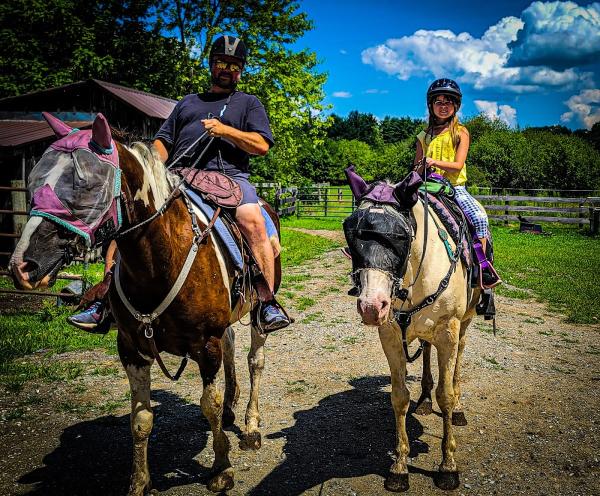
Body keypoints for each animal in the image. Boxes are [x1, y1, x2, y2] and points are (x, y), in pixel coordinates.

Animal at [9, 114, 274, 494]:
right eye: (33, 180)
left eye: (86, 186)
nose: (22, 266)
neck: (160, 259)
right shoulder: (131, 348)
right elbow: (141, 419)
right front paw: (139, 481)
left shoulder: (205, 343)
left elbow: (207, 404)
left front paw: (221, 469)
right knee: (231, 345)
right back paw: (230, 410)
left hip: (256, 314)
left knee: (255, 360)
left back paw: (250, 427)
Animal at [344, 170, 480, 492]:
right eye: (350, 232)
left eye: (401, 236)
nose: (371, 306)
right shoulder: (391, 335)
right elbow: (399, 396)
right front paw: (400, 466)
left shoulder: (448, 331)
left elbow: (446, 394)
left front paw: (448, 466)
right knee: (427, 352)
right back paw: (425, 400)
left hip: (464, 323)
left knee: (458, 361)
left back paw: (457, 407)